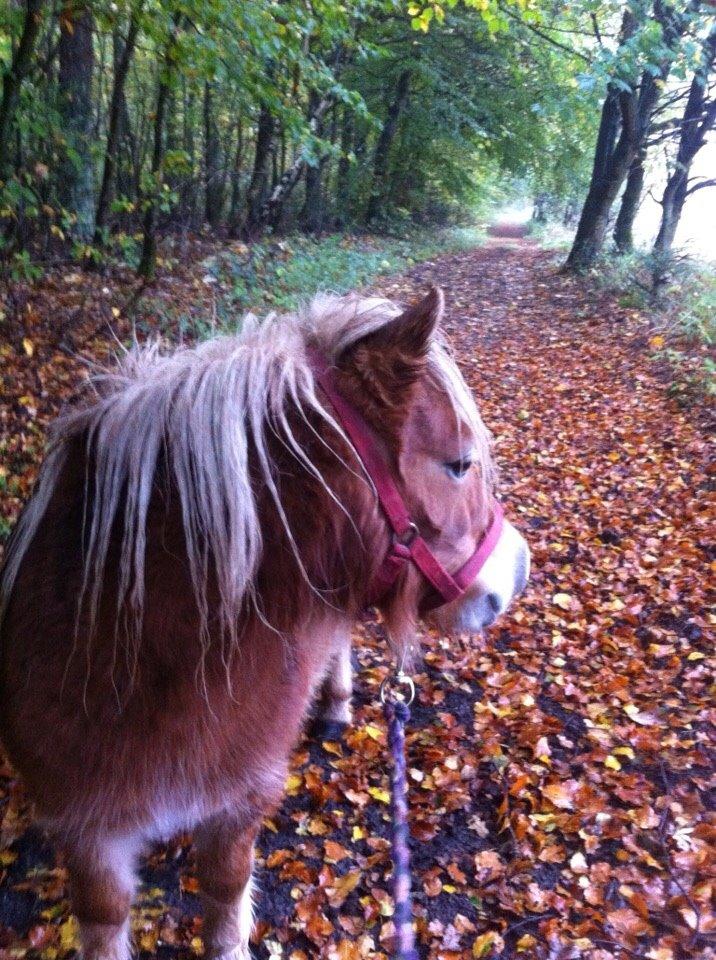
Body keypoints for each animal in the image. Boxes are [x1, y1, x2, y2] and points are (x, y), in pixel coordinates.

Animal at [0, 288, 524, 960]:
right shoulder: (86, 829)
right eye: (458, 465)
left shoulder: (241, 802)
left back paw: (335, 704)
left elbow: (225, 901)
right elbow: (105, 914)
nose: (517, 573)